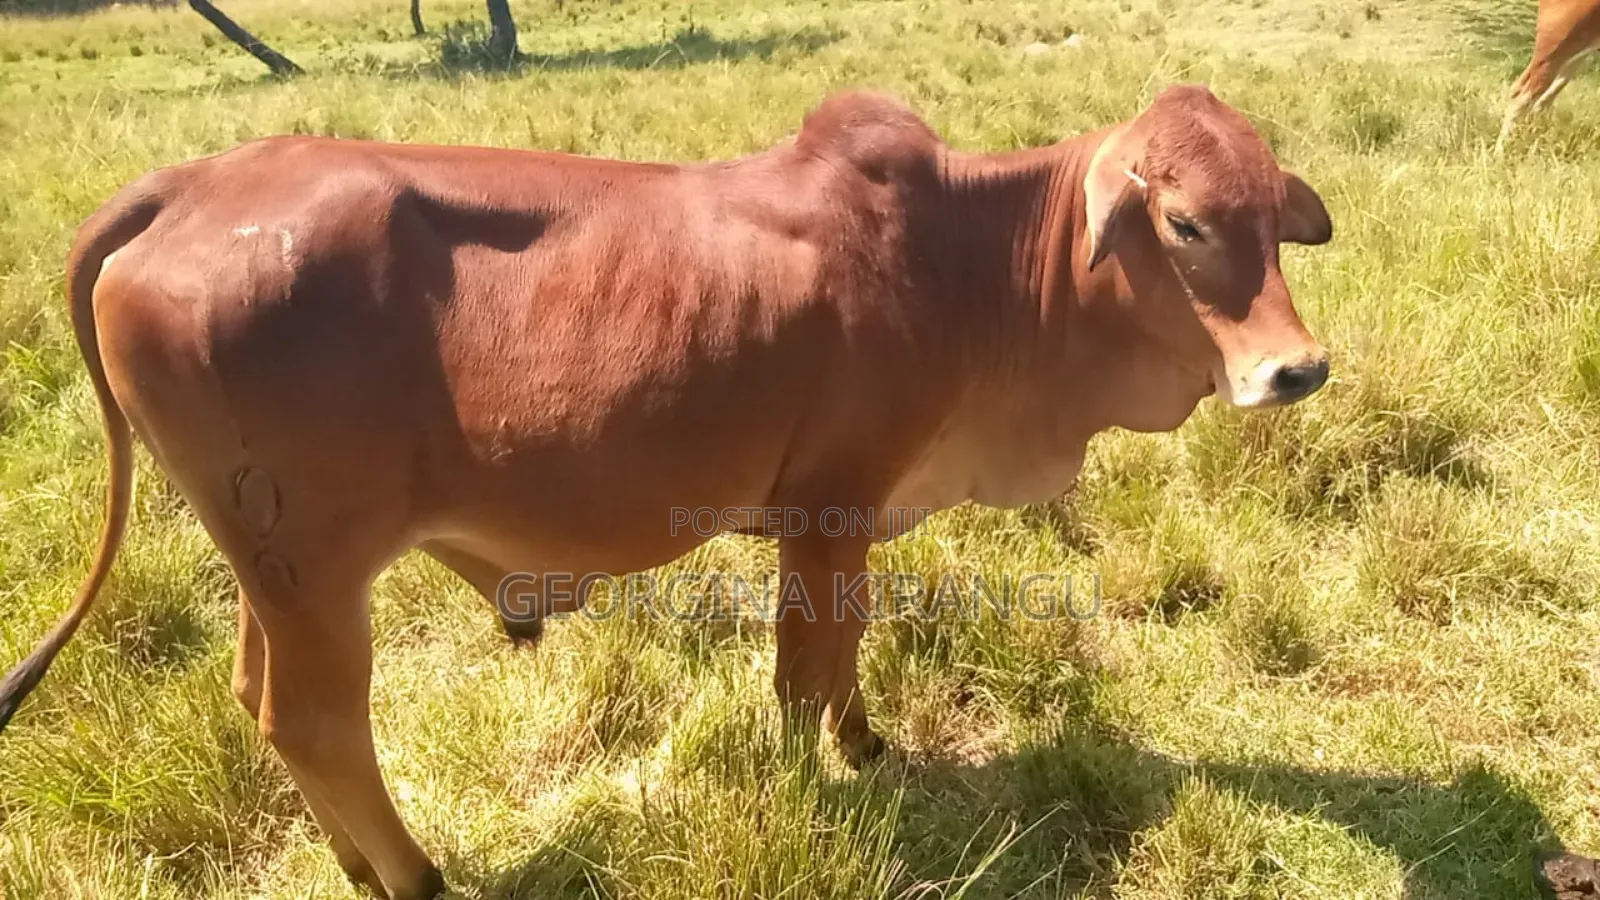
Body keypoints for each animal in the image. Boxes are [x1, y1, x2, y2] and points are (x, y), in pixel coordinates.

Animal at [0, 84, 1332, 899]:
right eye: (1183, 221)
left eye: (1277, 217)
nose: (1296, 369)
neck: (973, 261)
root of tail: (189, 185)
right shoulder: (825, 510)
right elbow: (802, 670)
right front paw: (805, 780)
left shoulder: (846, 518)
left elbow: (847, 646)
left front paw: (866, 742)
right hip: (317, 569)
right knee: (314, 721)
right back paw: (417, 876)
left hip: (263, 563)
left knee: (255, 697)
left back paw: (362, 868)